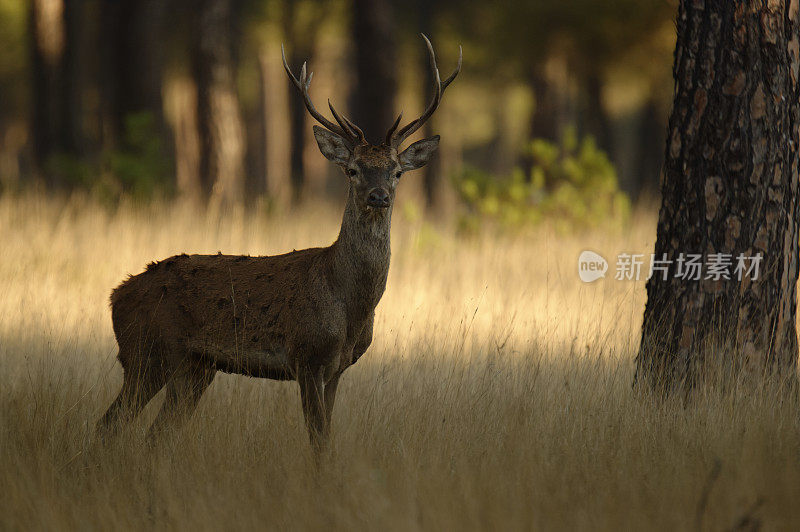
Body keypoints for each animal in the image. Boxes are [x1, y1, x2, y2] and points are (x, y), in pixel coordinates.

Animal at [96, 34, 462, 454]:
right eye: (352, 170)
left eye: (397, 171)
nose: (378, 196)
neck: (348, 304)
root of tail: (115, 296)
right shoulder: (307, 355)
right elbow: (317, 438)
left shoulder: (338, 367)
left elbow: (326, 434)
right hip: (146, 352)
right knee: (108, 424)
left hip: (194, 367)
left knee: (156, 434)